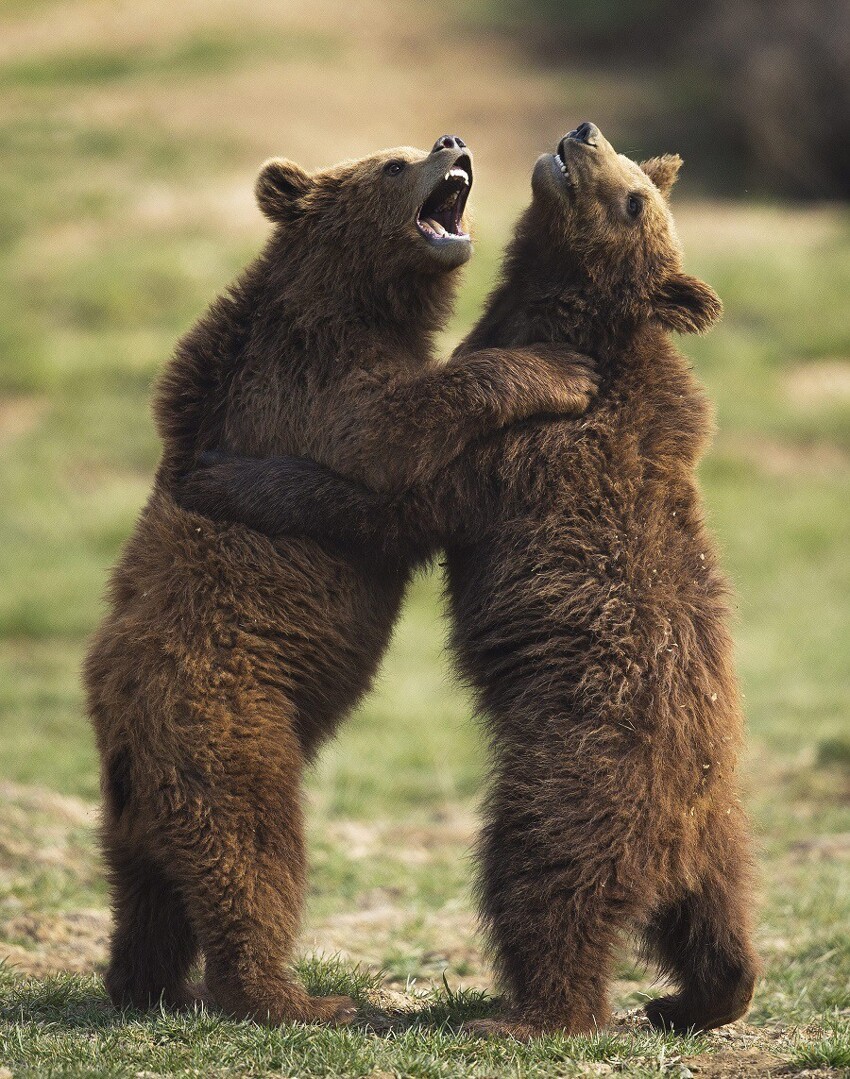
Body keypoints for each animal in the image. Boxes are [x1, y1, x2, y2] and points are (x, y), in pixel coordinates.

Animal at [83, 137, 595, 1027]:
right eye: (392, 163)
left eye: (417, 146)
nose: (454, 142)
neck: (364, 304)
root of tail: (118, 737)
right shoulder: (316, 388)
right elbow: (398, 436)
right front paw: (560, 369)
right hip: (225, 720)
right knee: (253, 852)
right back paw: (298, 996)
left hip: (135, 802)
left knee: (147, 897)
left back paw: (153, 983)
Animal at [175, 122, 759, 1040]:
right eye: (634, 170)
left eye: (635, 197)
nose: (584, 133)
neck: (560, 313)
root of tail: (685, 827)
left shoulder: (525, 458)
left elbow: (388, 501)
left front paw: (223, 472)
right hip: (723, 834)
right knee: (718, 926)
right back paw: (689, 999)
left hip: (579, 778)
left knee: (544, 884)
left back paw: (523, 1014)